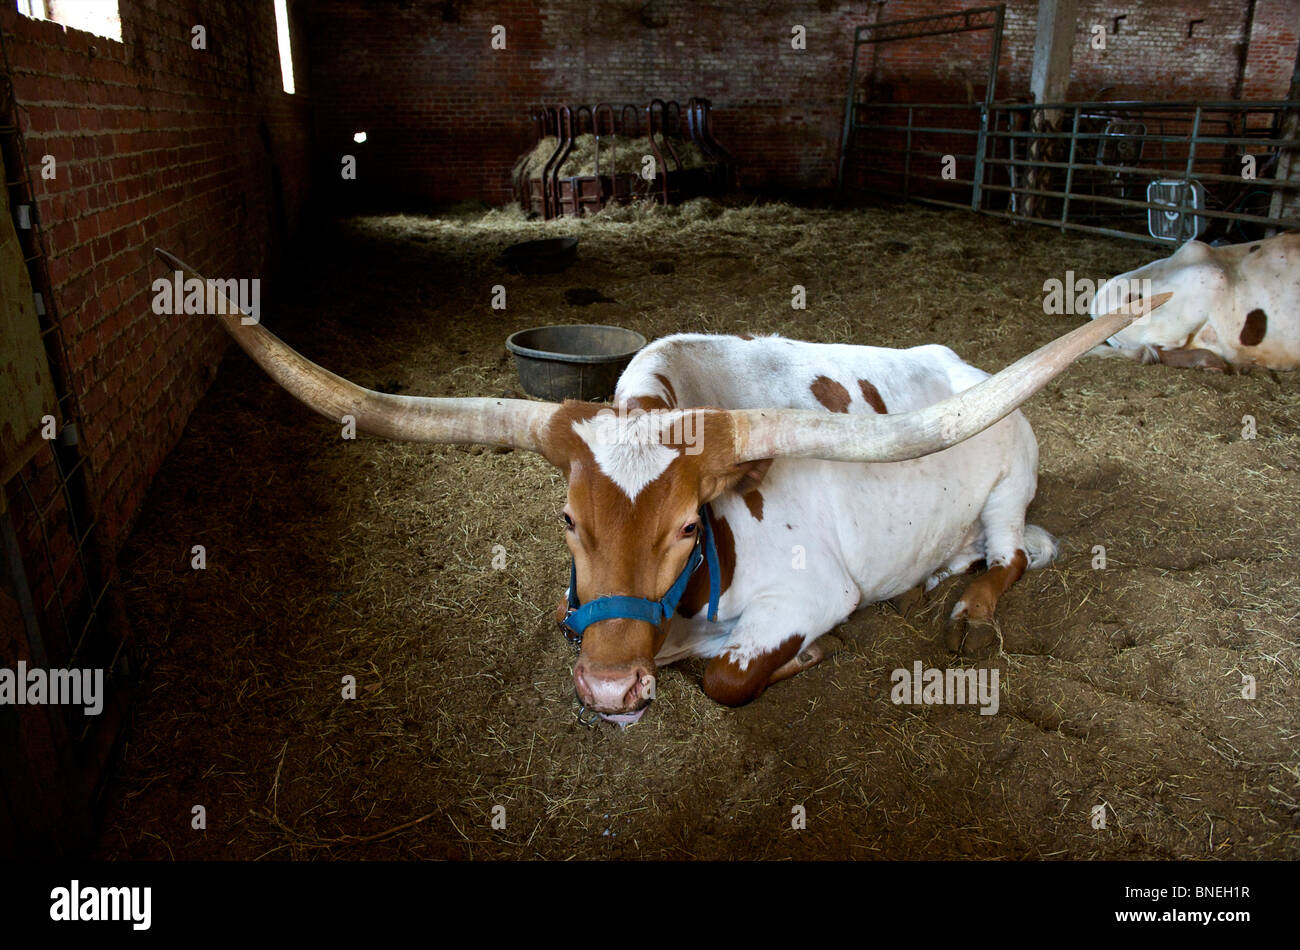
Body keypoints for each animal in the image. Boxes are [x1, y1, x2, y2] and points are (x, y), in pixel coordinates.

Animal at [152, 249, 1170, 722]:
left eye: (688, 527)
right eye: (566, 519)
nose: (609, 691)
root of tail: (966, 367)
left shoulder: (813, 595)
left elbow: (727, 676)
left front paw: (800, 661)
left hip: (1010, 482)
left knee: (1012, 557)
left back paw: (965, 605)